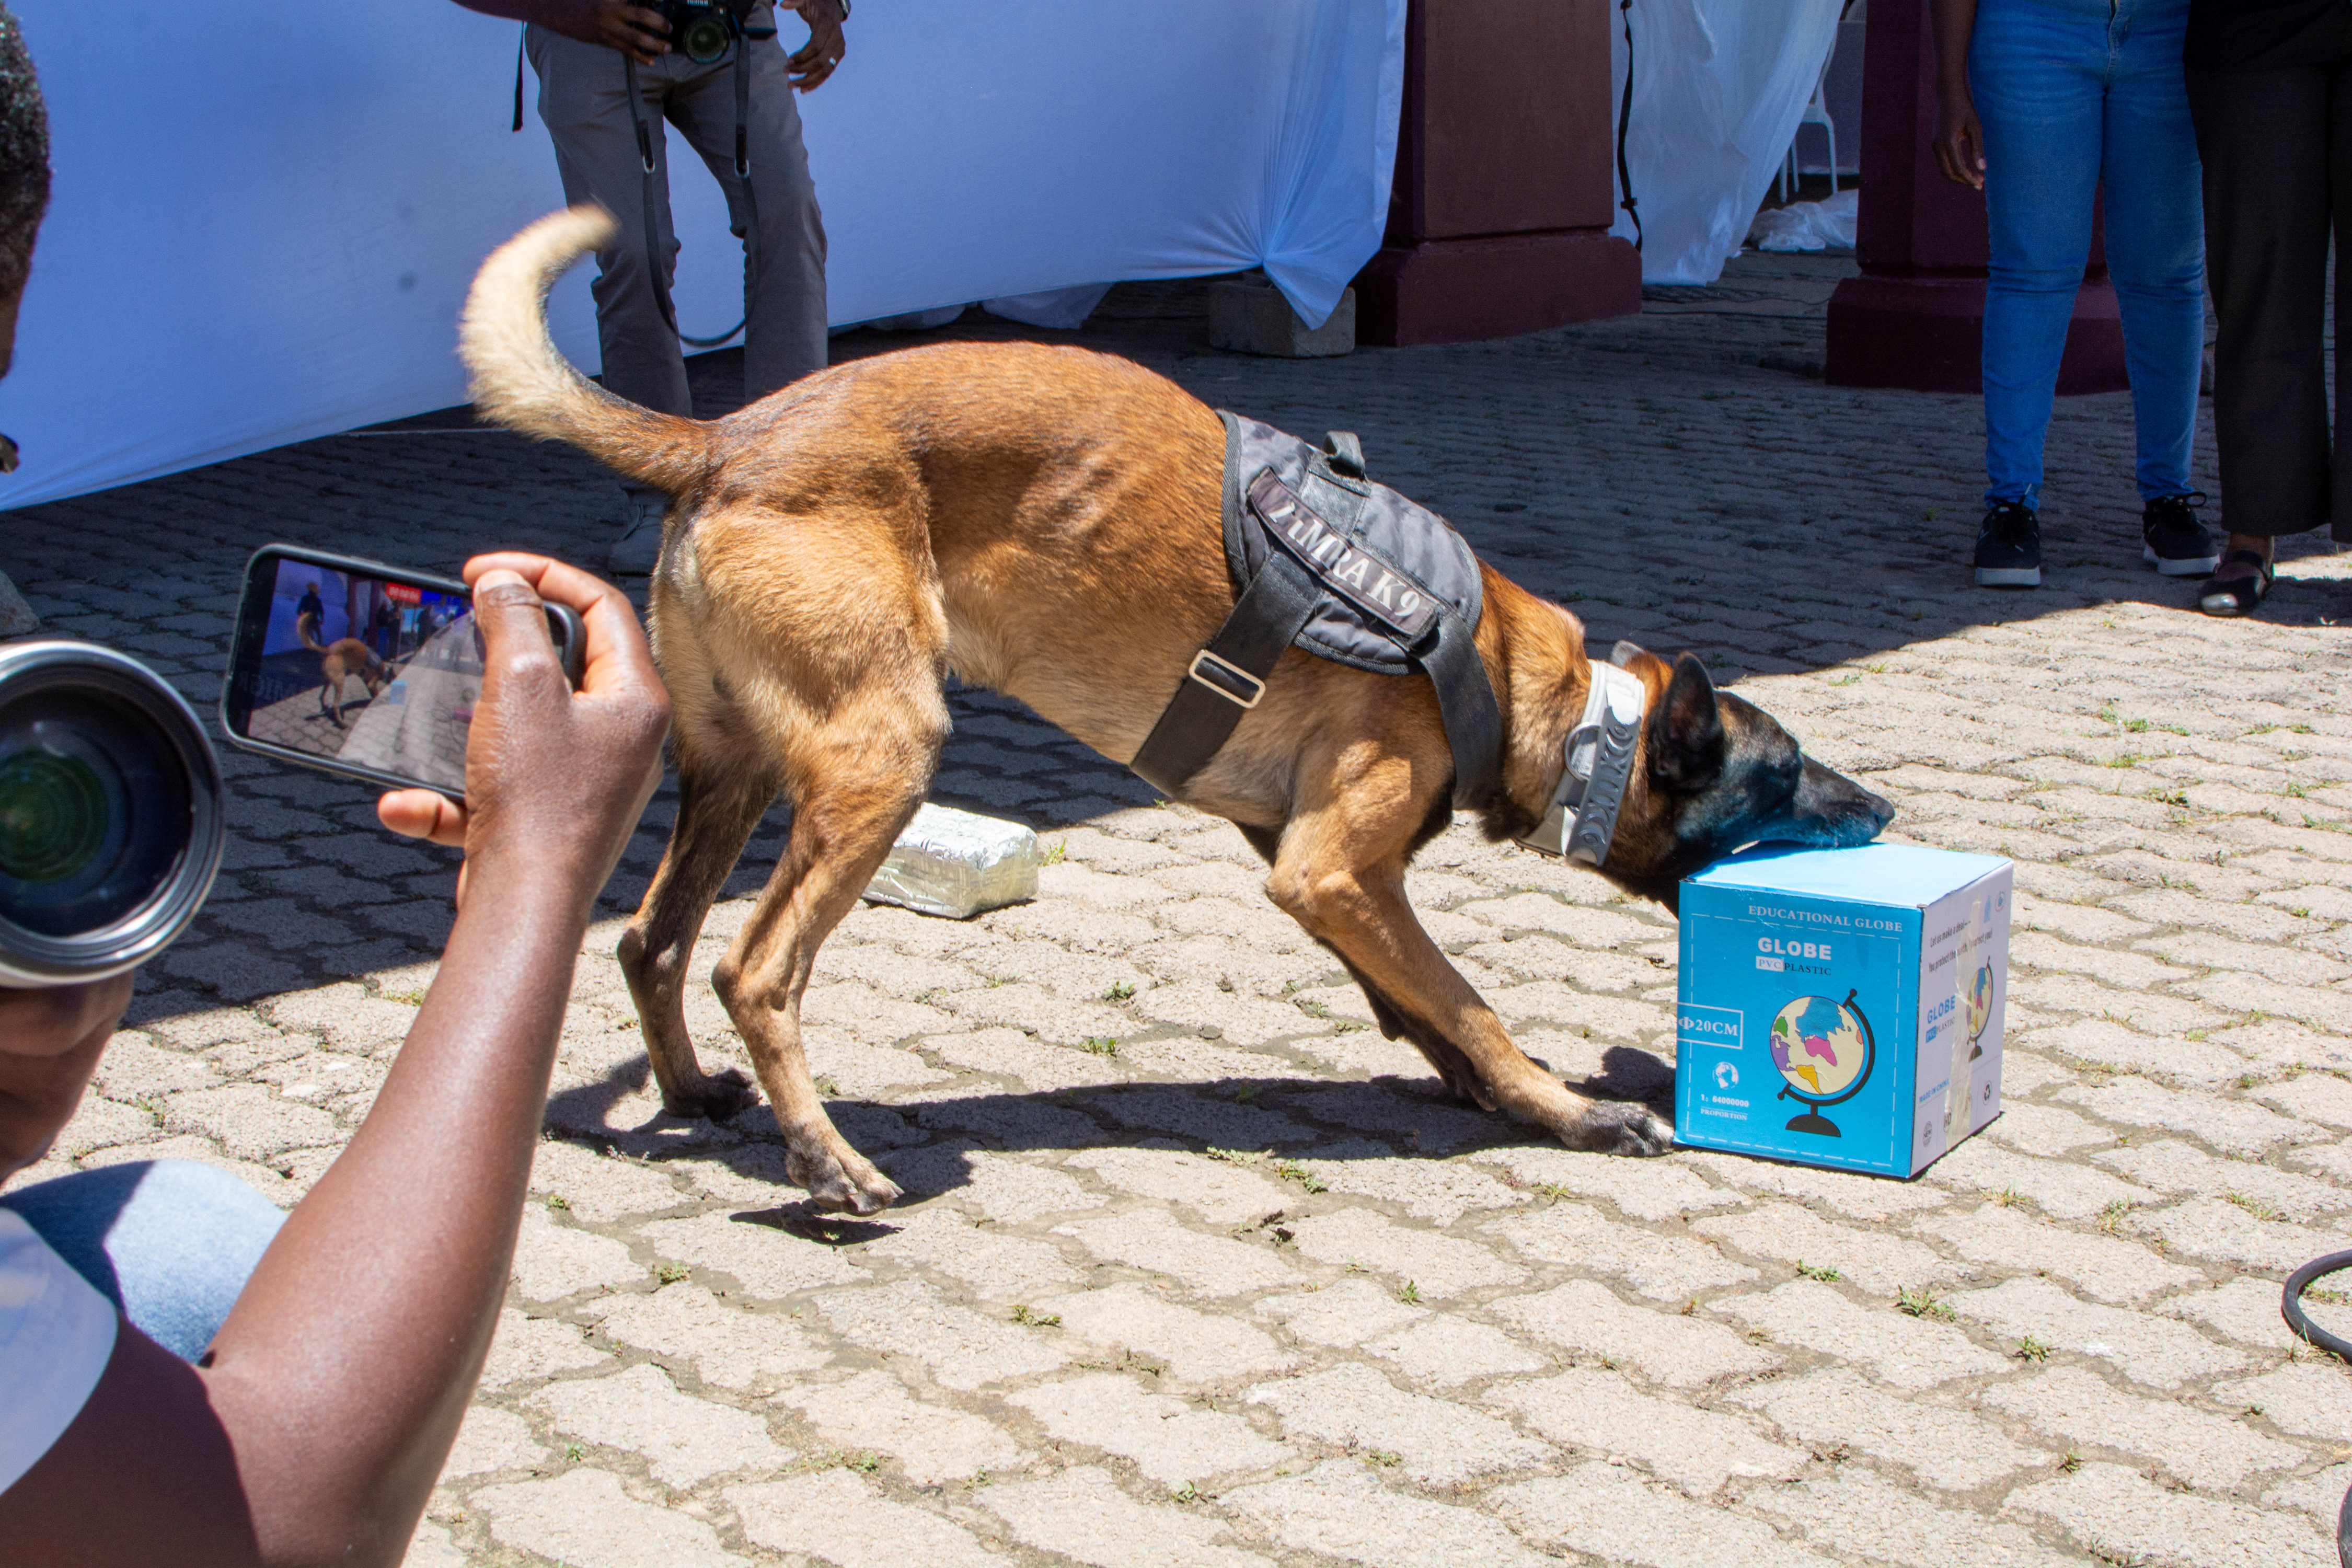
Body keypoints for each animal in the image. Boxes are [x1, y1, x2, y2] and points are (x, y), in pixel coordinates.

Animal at [461, 208, 1894, 1214]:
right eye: (1785, 776)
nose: (1884, 807)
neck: (1515, 675)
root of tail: (725, 438)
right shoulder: (1330, 868)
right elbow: (1467, 995)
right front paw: (1562, 1106)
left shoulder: (1319, 867)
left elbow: (1418, 994)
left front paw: (1480, 1084)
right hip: (879, 759)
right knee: (751, 967)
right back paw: (826, 1162)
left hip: (740, 771)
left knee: (651, 941)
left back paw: (696, 1090)